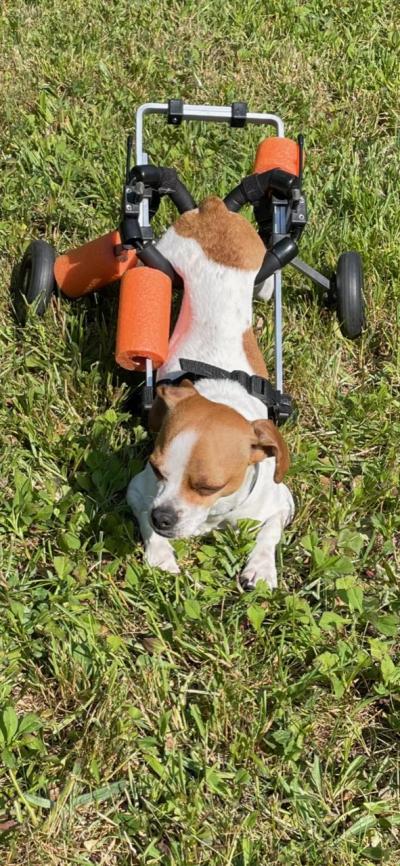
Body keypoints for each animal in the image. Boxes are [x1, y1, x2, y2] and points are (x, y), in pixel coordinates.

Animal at [127, 196, 294, 588]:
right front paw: (160, 554)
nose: (163, 516)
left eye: (207, 487)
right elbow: (145, 519)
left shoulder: (283, 503)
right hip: (162, 255)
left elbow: (269, 531)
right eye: (156, 469)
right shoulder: (138, 492)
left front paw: (261, 567)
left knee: (268, 279)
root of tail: (214, 207)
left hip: (259, 261)